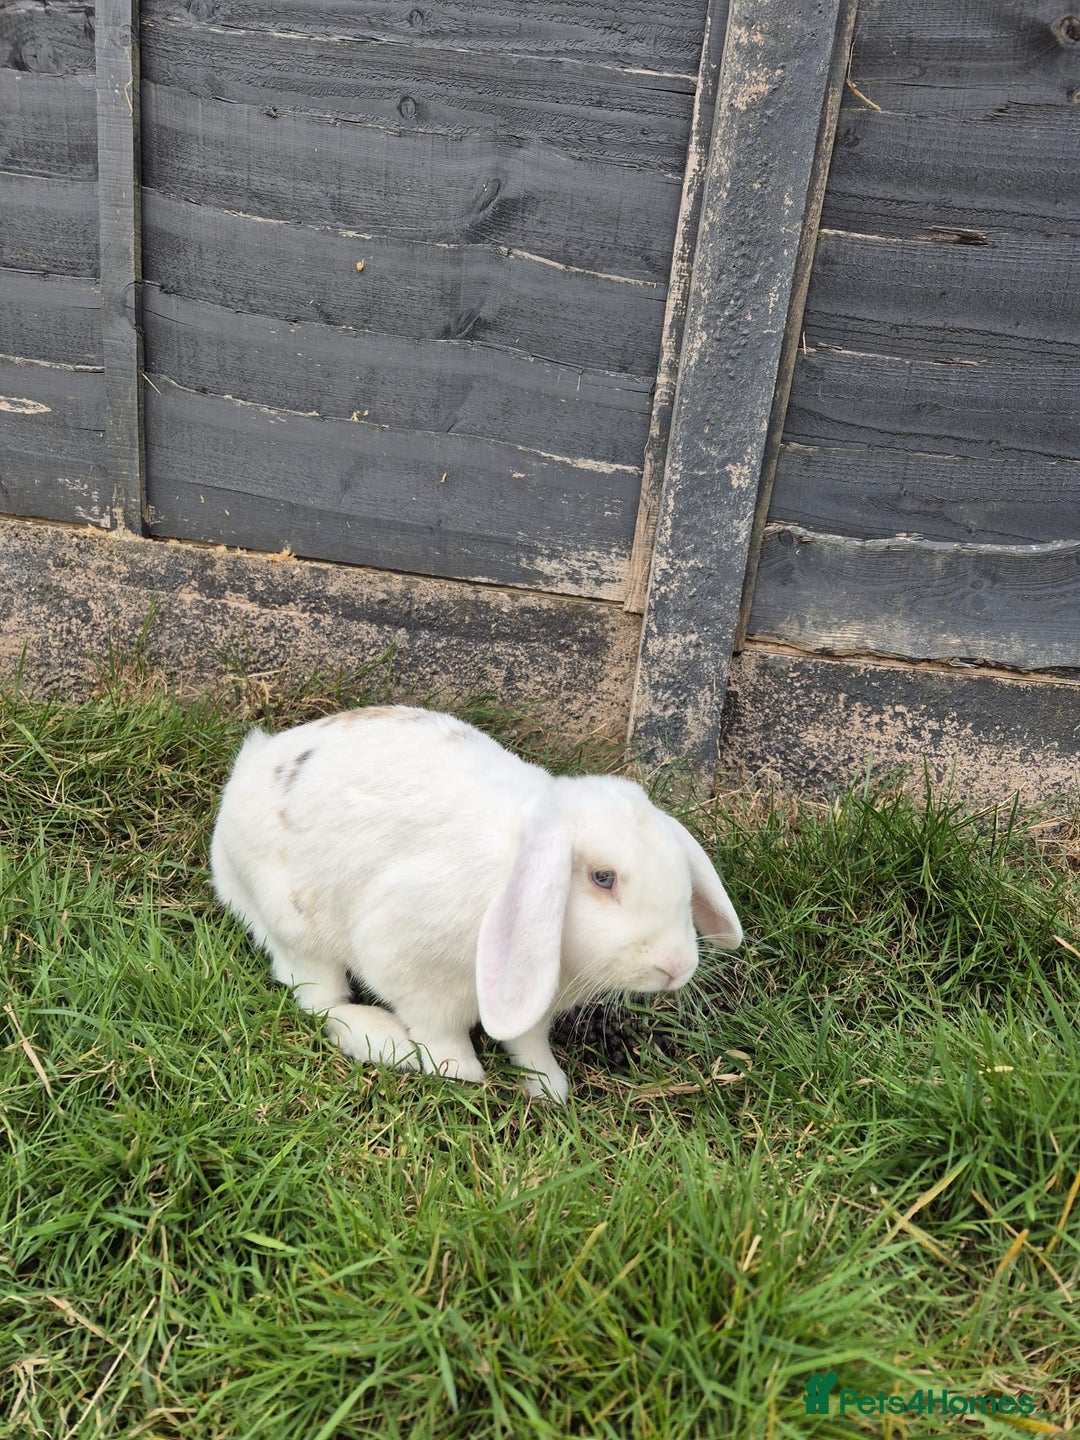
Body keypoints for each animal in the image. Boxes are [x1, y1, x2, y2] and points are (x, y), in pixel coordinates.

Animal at [210, 705, 742, 1102]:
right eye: (603, 878)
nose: (677, 967)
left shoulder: (528, 1002)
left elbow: (527, 1041)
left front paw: (549, 1088)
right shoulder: (408, 962)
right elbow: (437, 1028)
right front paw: (460, 1071)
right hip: (297, 925)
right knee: (320, 1001)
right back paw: (385, 1040)